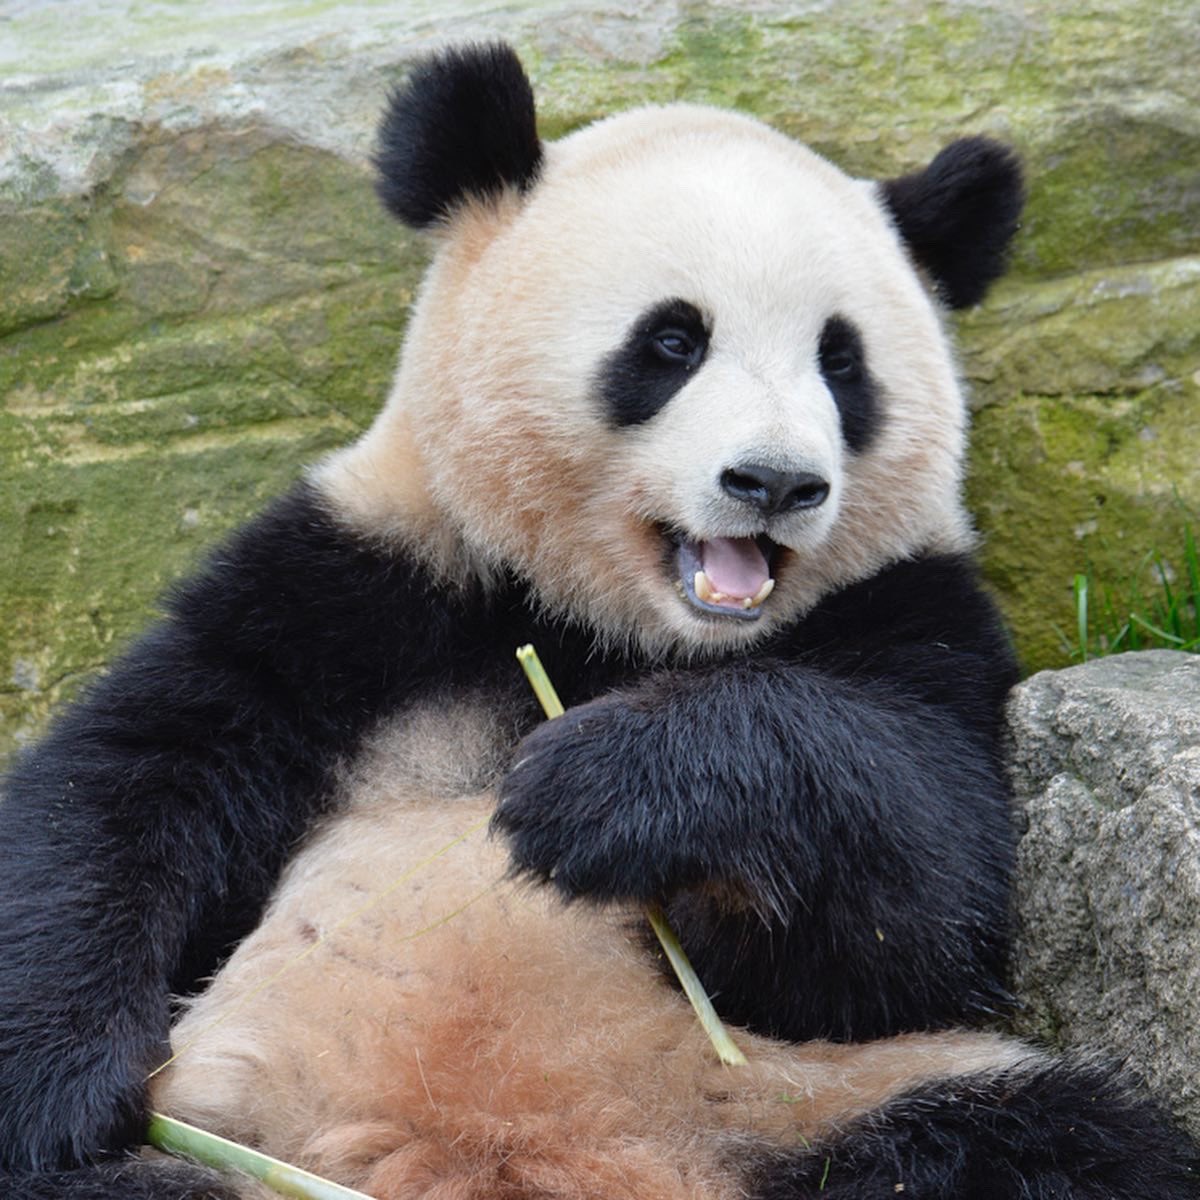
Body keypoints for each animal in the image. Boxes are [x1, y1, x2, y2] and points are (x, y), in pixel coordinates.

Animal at [0, 41, 1195, 1200]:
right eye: (672, 342)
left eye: (841, 360)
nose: (775, 482)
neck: (616, 629)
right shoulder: (363, 583)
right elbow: (126, 785)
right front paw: (55, 1095)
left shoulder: (916, 620)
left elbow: (920, 910)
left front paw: (607, 787)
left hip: (826, 1101)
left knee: (1056, 1145)